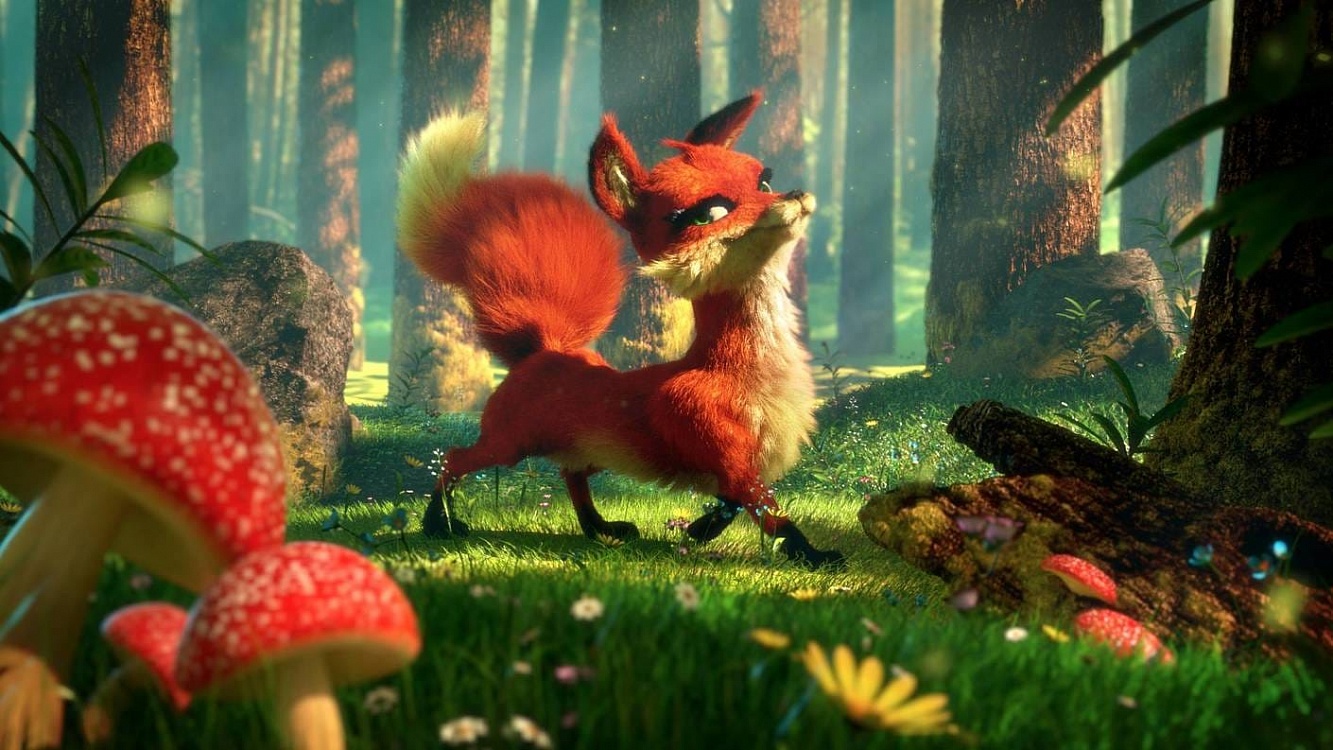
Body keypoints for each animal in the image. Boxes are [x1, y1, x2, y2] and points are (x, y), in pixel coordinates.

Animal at [396, 92, 844, 568]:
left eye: (763, 183)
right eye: (712, 212)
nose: (795, 195)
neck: (746, 372)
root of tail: (544, 349)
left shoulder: (735, 464)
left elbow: (731, 504)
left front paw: (701, 530)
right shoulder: (725, 453)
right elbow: (770, 515)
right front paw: (813, 555)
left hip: (592, 452)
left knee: (571, 476)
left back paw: (600, 529)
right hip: (509, 446)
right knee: (454, 459)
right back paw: (437, 523)